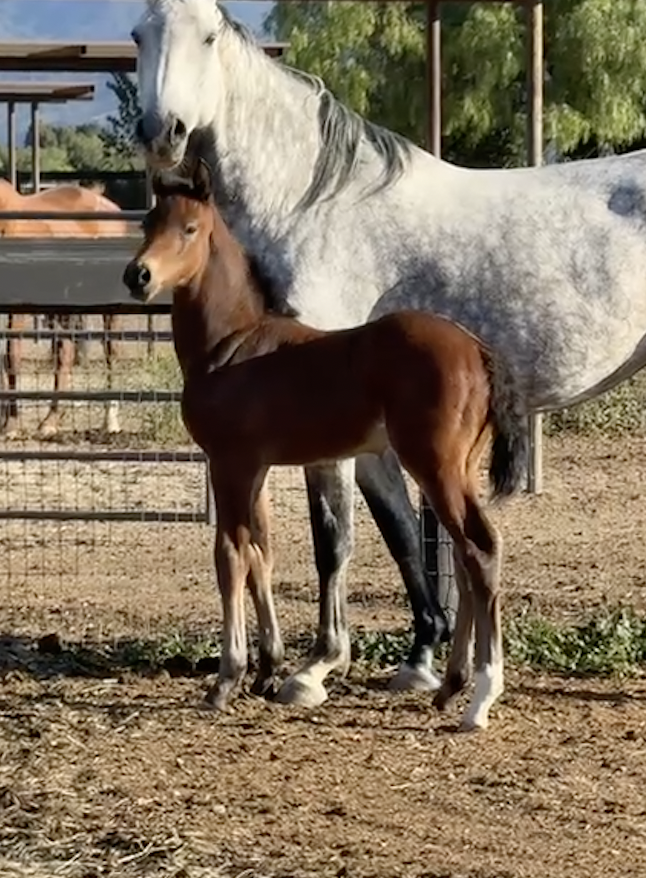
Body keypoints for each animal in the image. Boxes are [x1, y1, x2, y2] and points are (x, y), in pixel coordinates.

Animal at [0, 177, 127, 438]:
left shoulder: (16, 306)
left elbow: (11, 357)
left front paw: (11, 426)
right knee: (65, 354)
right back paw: (51, 421)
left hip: (109, 303)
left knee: (111, 351)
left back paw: (110, 421)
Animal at [122, 160, 527, 730]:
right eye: (147, 223)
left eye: (190, 229)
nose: (138, 276)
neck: (232, 345)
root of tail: (477, 348)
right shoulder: (257, 468)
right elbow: (261, 553)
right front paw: (268, 671)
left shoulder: (229, 463)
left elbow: (230, 555)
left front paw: (227, 679)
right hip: (457, 468)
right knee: (471, 556)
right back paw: (451, 687)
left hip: (435, 464)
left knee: (480, 548)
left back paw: (480, 699)